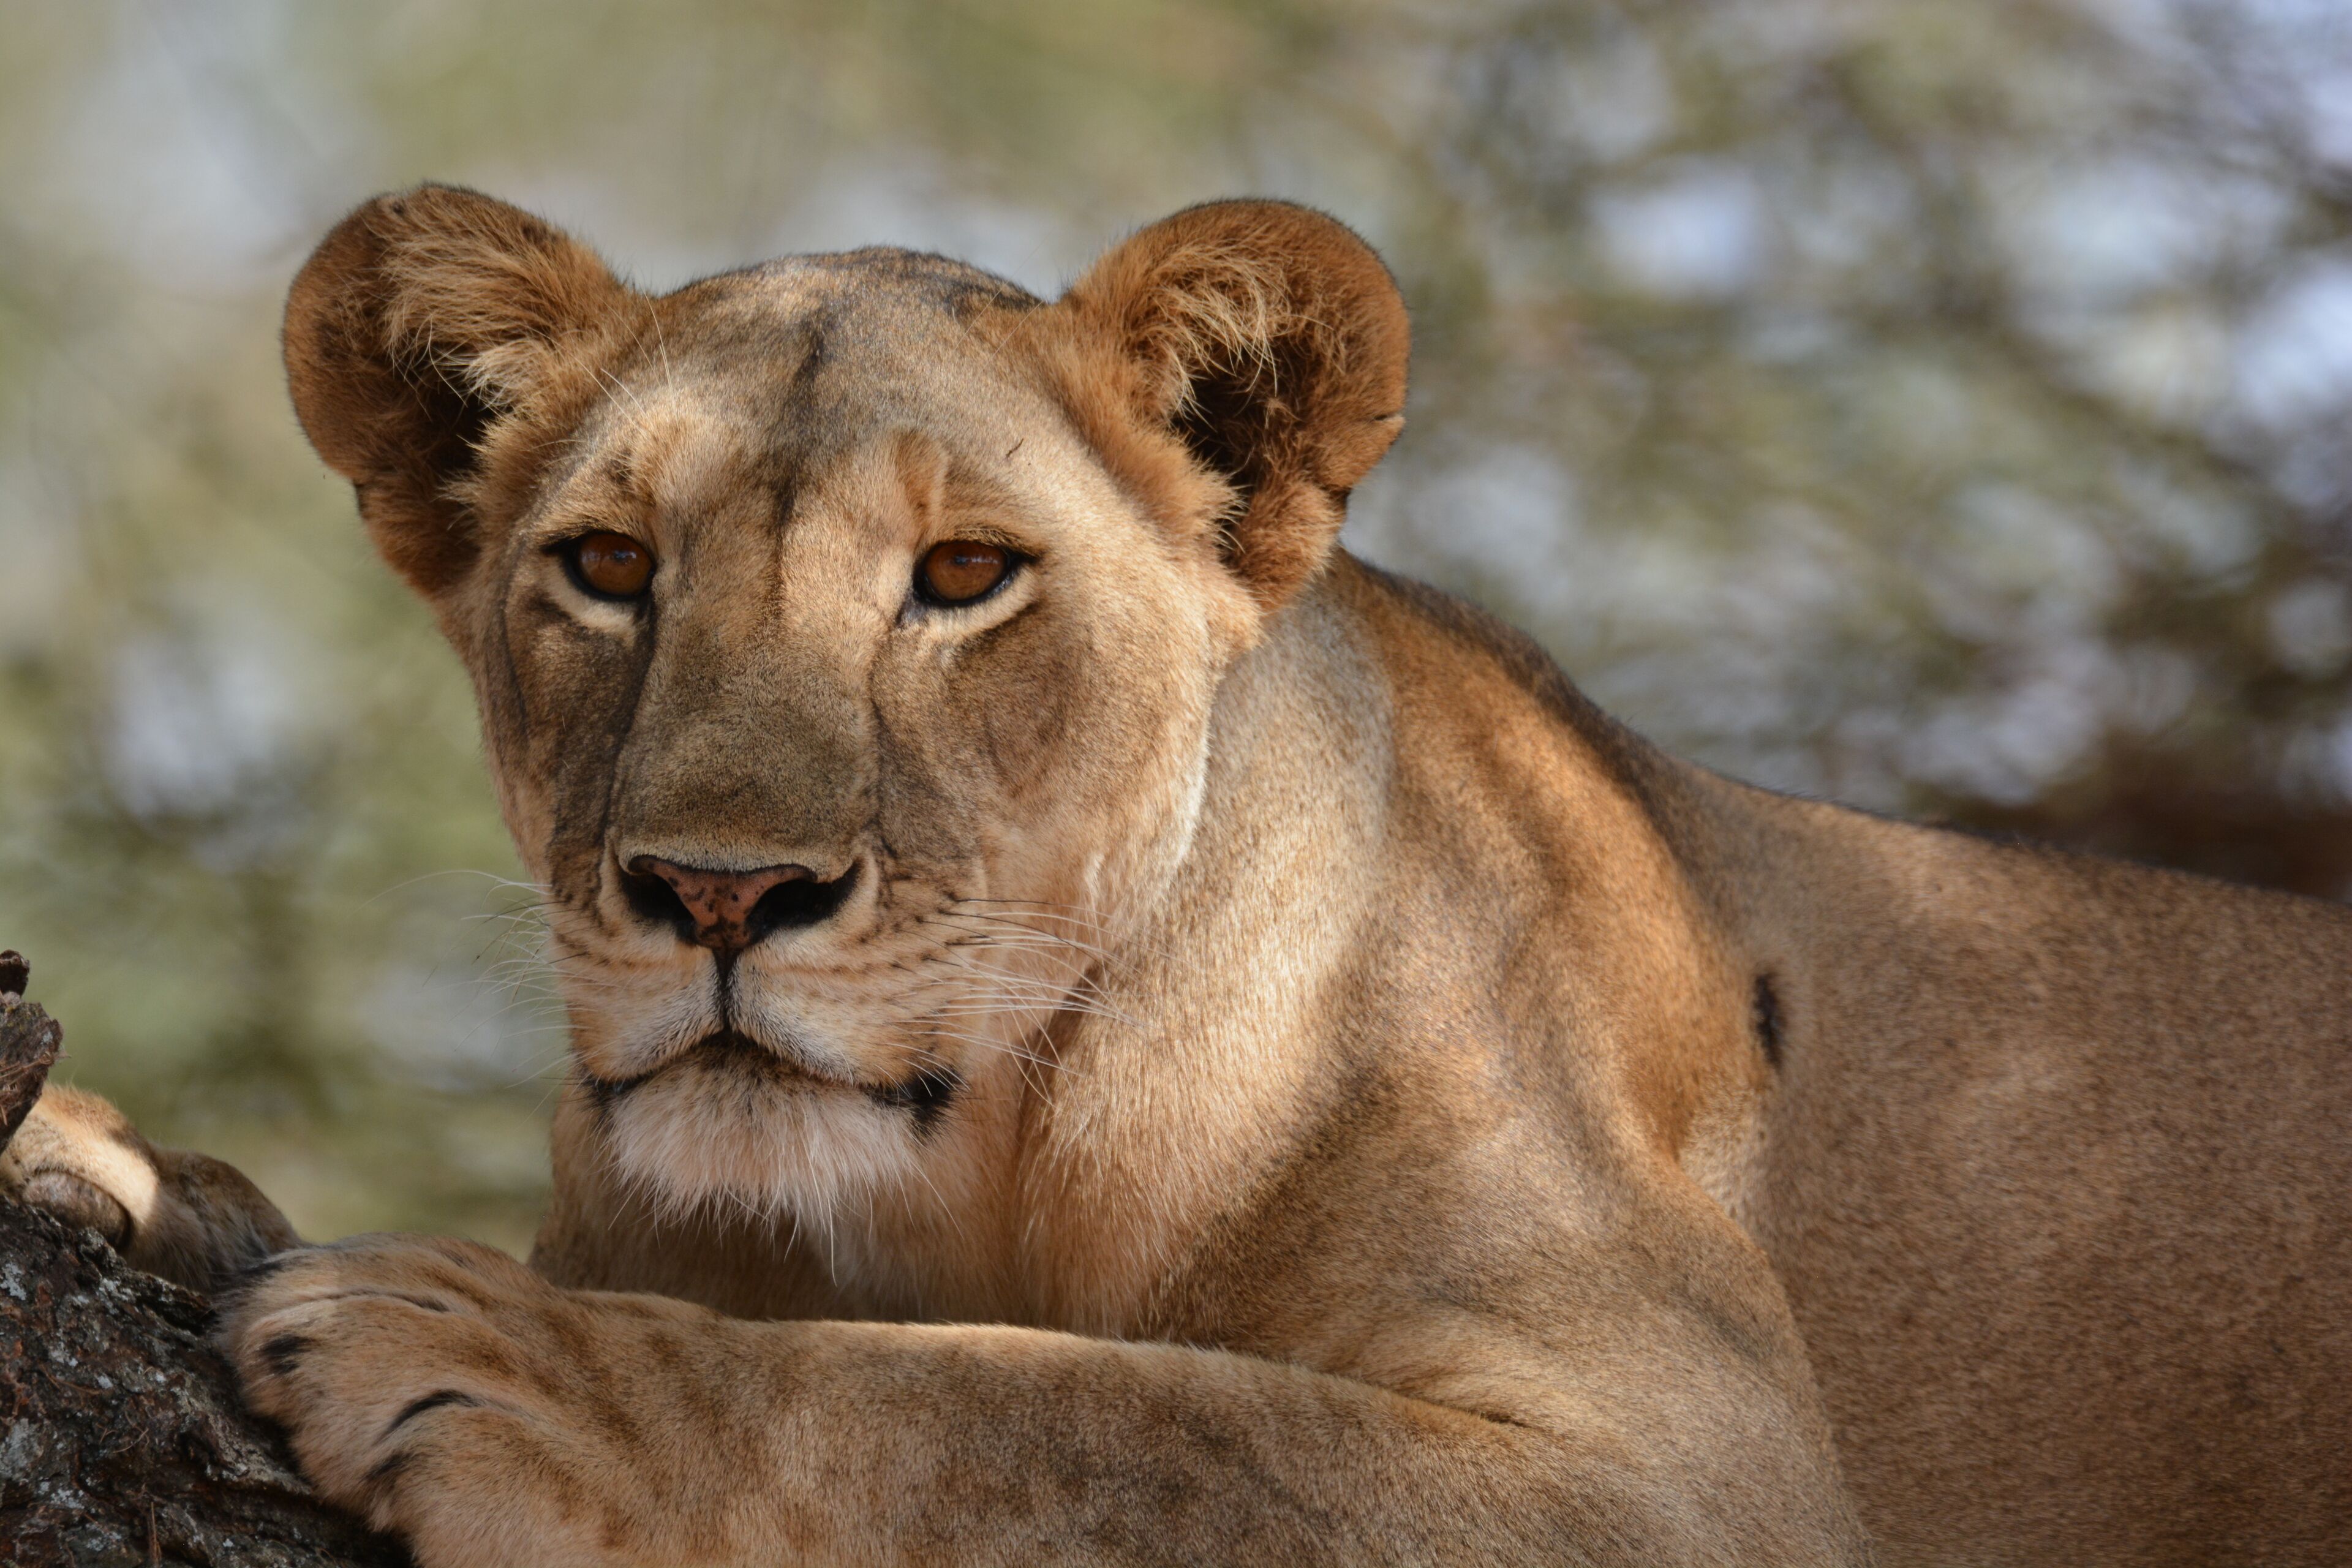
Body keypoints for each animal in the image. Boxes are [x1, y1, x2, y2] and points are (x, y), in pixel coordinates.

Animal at [5, 184, 2346, 1566]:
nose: (716, 896)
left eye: (963, 578)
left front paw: (518, 1369)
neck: (972, 1165)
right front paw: (104, 1161)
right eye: (603, 564)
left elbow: (1062, 1419)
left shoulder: (1696, 1481)